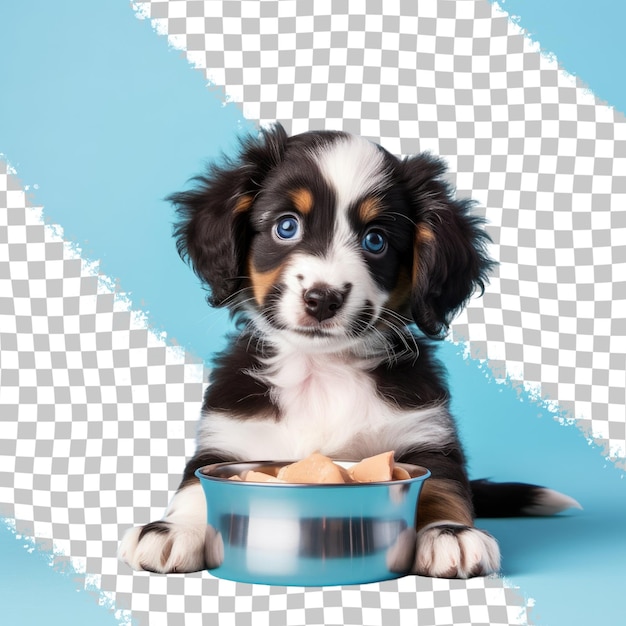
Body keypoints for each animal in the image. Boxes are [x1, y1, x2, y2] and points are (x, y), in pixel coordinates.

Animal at [117, 124, 576, 576]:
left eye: (375, 240)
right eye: (287, 226)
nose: (323, 298)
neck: (322, 370)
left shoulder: (426, 433)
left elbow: (442, 484)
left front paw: (450, 533)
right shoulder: (227, 434)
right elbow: (196, 483)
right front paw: (172, 529)